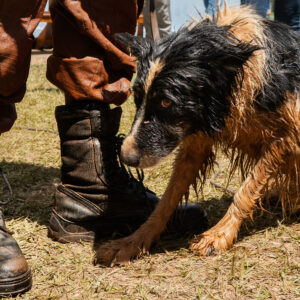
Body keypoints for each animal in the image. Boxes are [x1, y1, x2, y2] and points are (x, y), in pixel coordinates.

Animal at [94, 1, 300, 264]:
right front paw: (133, 242)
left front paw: (219, 234)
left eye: (166, 102)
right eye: (137, 97)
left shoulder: (286, 137)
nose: (126, 158)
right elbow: (167, 199)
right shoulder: (194, 142)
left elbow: (246, 189)